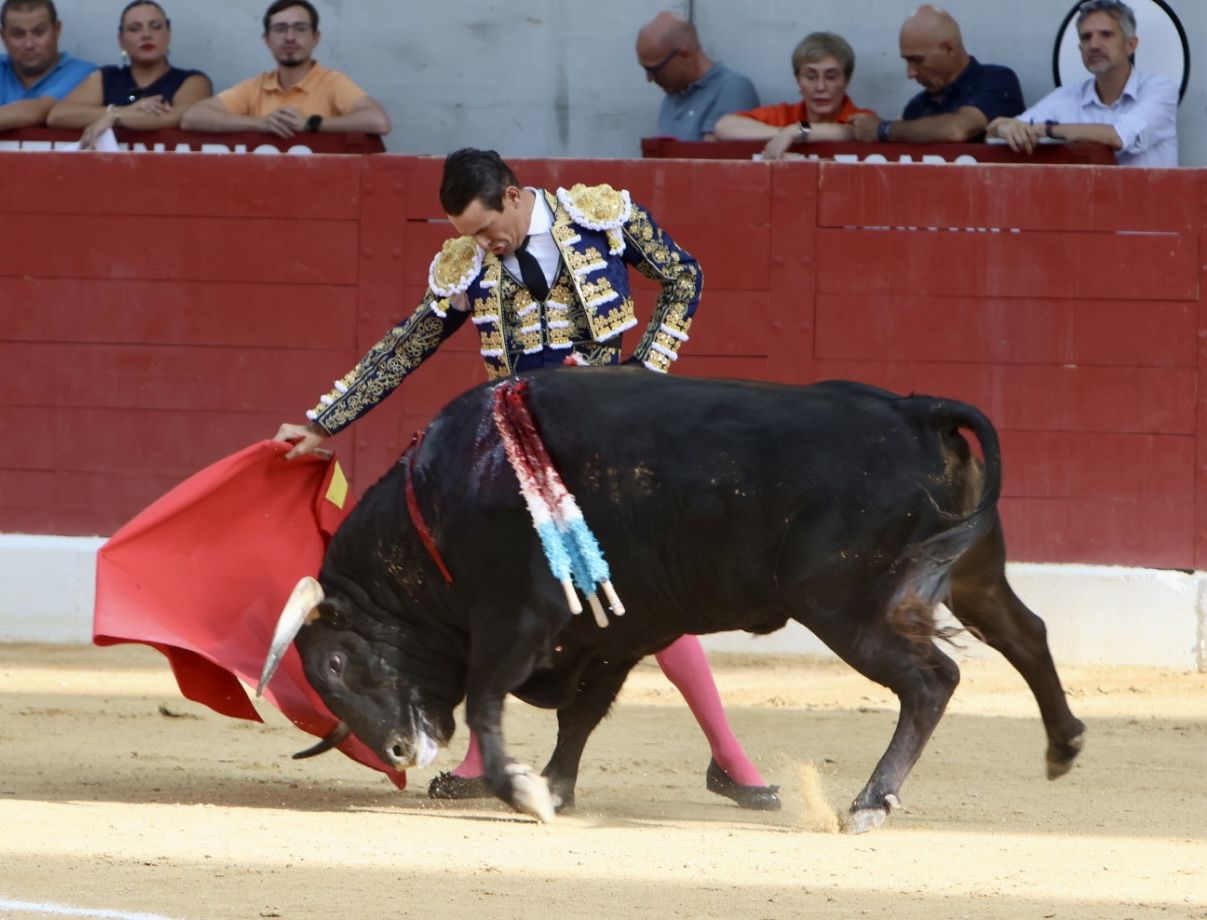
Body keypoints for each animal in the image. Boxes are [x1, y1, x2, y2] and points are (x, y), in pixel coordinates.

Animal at [259, 369, 1091, 825]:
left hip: (846, 605)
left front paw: (524, 791)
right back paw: (1063, 746)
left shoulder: (518, 618)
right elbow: (580, 715)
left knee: (931, 679)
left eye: (334, 666)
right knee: (1025, 633)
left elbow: (492, 703)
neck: (440, 502)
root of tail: (913, 409)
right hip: (974, 572)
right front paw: (555, 786)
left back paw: (867, 804)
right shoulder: (618, 632)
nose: (398, 752)